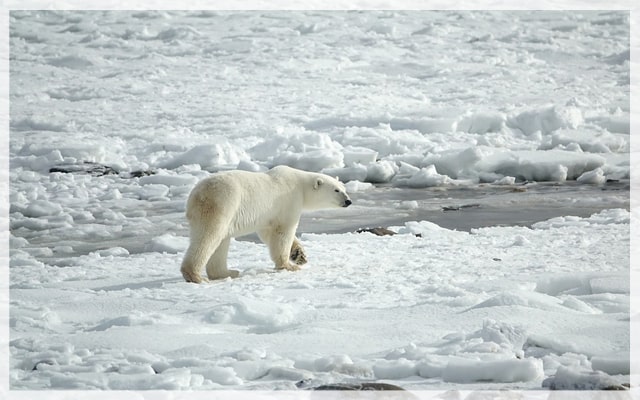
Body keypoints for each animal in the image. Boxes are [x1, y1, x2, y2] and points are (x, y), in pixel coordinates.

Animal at [179, 164, 350, 282]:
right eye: (336, 190)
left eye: (344, 189)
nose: (348, 201)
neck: (300, 185)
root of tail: (196, 195)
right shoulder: (288, 201)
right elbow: (283, 232)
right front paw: (289, 265)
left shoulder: (268, 215)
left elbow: (268, 233)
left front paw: (299, 255)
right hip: (222, 204)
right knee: (208, 237)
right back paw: (196, 276)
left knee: (221, 241)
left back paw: (228, 272)